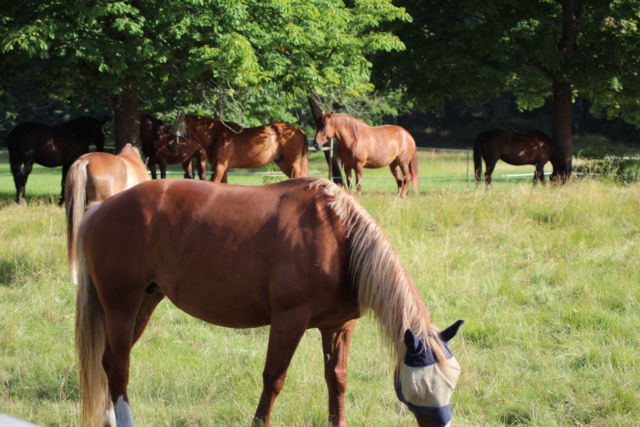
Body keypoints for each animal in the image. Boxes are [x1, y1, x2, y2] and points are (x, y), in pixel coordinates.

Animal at [73, 178, 463, 427]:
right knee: (119, 366)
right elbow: (274, 378)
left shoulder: (338, 327)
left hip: (143, 304)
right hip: (122, 306)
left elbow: (336, 380)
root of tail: (100, 208)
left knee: (109, 362)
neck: (339, 238)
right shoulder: (289, 320)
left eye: (452, 381)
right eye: (422, 385)